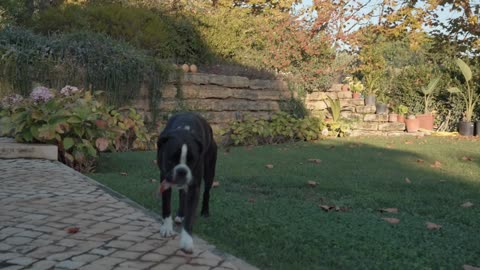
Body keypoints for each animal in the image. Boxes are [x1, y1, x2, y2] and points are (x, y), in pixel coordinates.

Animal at [158, 111, 218, 253]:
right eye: (171, 160)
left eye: (192, 160)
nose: (182, 171)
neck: (184, 131)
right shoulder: (164, 180)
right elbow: (166, 206)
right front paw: (167, 228)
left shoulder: (194, 187)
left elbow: (190, 214)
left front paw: (187, 240)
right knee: (182, 194)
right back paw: (180, 215)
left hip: (209, 172)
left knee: (206, 192)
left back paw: (205, 211)